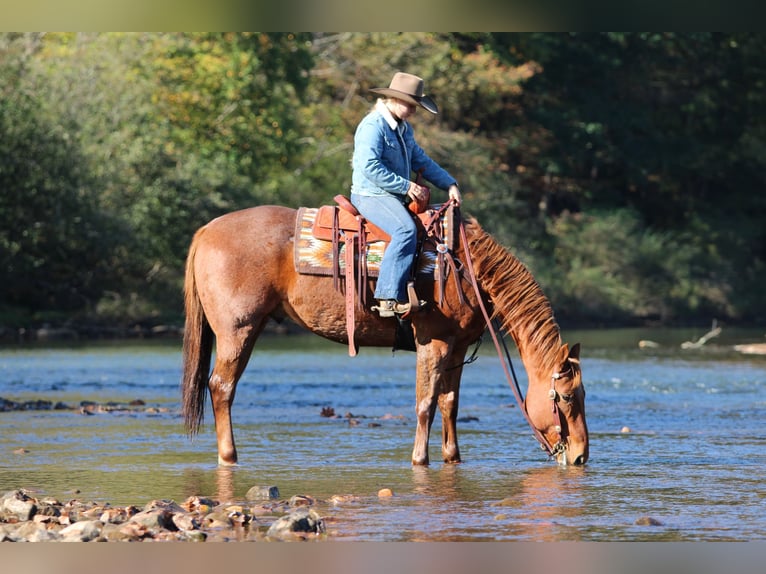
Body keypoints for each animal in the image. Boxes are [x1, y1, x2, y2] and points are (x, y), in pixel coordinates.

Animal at [181, 203, 589, 467]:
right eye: (567, 397)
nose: (581, 456)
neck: (466, 270)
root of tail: (206, 230)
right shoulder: (433, 342)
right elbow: (425, 403)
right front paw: (420, 459)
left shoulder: (457, 348)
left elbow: (450, 404)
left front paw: (452, 457)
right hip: (239, 330)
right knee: (221, 387)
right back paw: (229, 455)